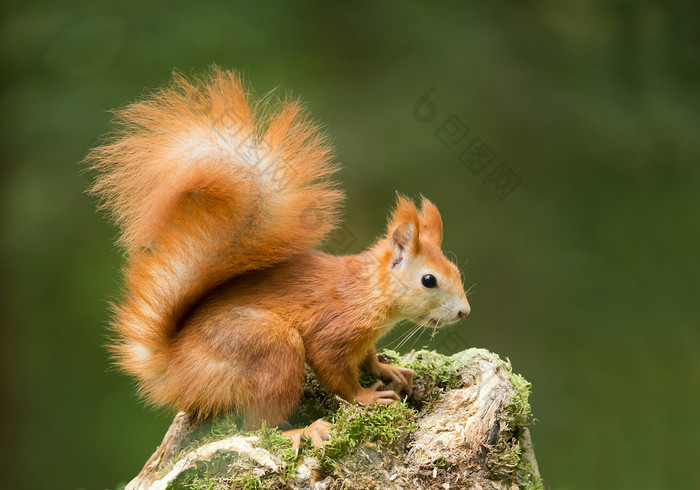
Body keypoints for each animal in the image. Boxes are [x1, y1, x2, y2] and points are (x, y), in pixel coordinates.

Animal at [89, 67, 470, 450]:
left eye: (455, 270)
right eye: (429, 280)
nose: (464, 312)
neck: (370, 290)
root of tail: (175, 374)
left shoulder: (362, 339)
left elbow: (368, 357)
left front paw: (387, 370)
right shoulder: (335, 328)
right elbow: (335, 373)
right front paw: (367, 396)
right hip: (273, 348)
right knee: (258, 426)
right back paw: (303, 430)